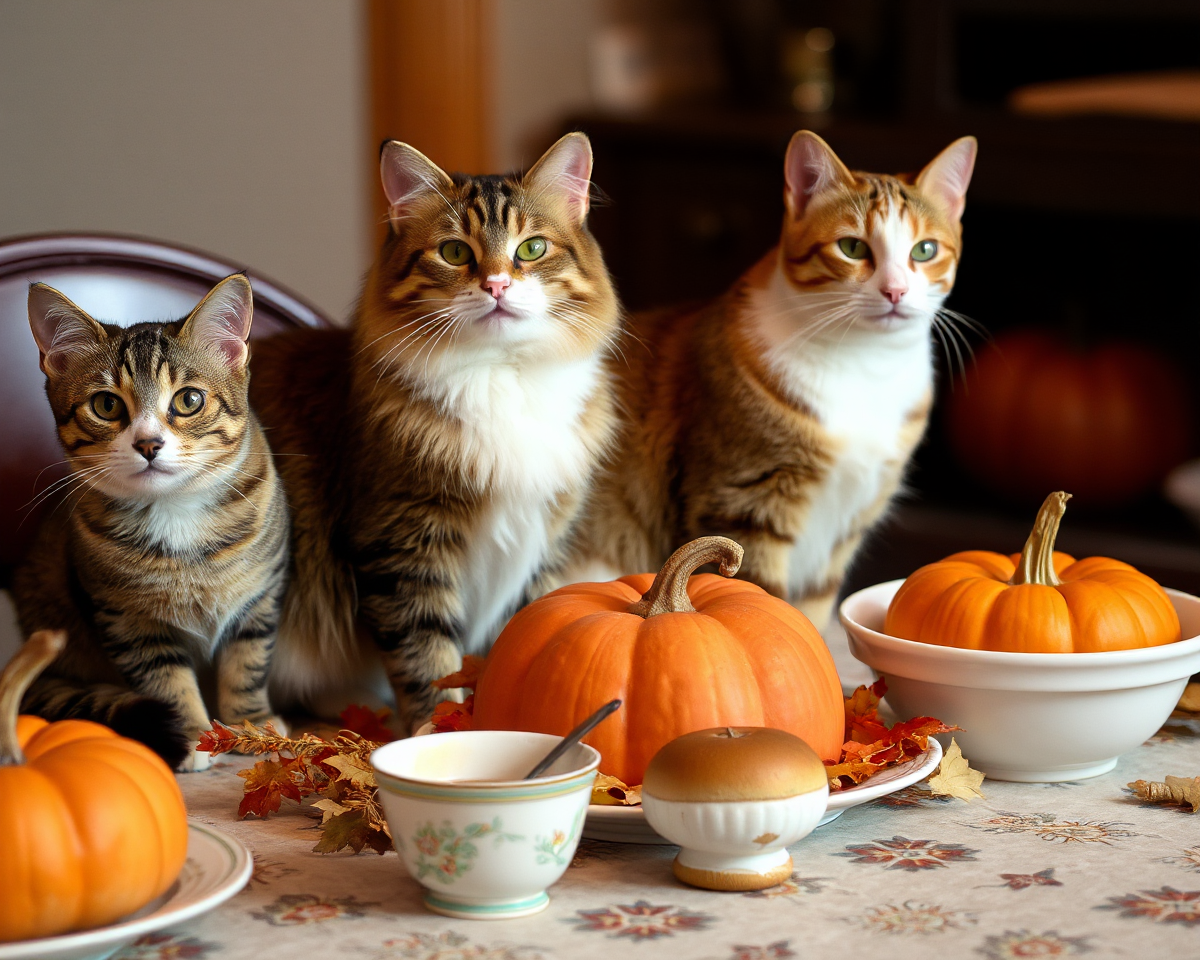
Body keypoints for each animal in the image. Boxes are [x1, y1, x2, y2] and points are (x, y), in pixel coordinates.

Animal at [13, 273, 288, 768]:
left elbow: (249, 660)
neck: (175, 509)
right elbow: (163, 676)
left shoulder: (261, 593)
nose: (148, 443)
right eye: (105, 405)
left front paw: (251, 724)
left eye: (190, 399)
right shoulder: (125, 618)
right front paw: (194, 735)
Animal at [254, 133, 624, 729]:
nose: (496, 284)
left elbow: (519, 636)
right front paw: (438, 726)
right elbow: (428, 656)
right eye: (455, 253)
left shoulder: (543, 544)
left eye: (530, 250)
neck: (502, 376)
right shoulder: (403, 544)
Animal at [576, 131, 979, 633]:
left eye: (924, 250)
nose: (896, 291)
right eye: (852, 247)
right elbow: (762, 591)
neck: (866, 365)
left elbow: (813, 609)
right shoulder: (744, 502)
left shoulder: (846, 525)